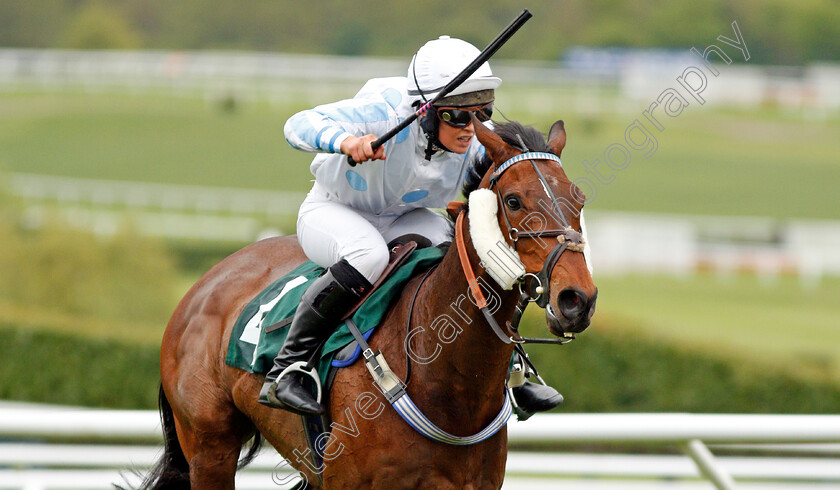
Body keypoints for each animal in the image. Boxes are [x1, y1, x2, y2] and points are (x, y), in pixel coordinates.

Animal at [144, 116, 600, 490]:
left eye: (579, 199)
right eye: (514, 201)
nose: (577, 299)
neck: (446, 381)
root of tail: (203, 285)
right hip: (209, 447)